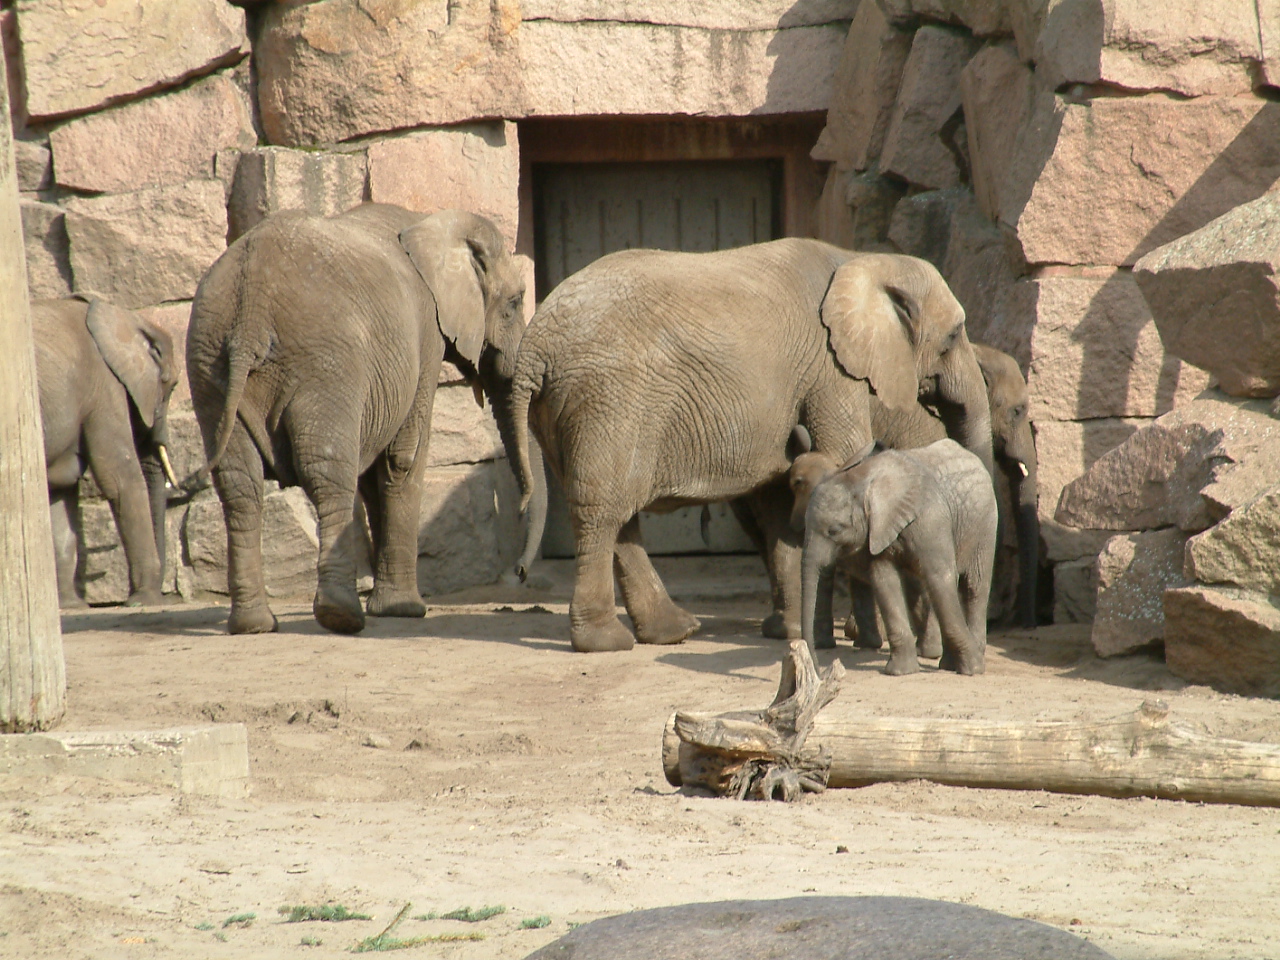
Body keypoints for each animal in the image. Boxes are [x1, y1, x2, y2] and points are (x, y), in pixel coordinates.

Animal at [33, 296, 181, 604]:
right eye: (171, 386)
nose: (165, 597)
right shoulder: (104, 384)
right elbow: (119, 477)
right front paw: (144, 602)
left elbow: (61, 491)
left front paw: (72, 606)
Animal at [185, 204, 524, 640]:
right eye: (515, 303)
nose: (521, 572)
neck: (432, 224)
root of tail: (251, 306)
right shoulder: (426, 337)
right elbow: (402, 459)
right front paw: (404, 610)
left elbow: (373, 470)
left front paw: (389, 605)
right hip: (326, 364)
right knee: (327, 474)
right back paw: (341, 616)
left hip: (209, 364)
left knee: (239, 485)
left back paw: (253, 625)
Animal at [504, 240, 993, 655]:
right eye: (953, 337)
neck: (863, 260)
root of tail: (534, 346)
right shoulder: (831, 368)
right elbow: (844, 450)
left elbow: (778, 502)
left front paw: (791, 631)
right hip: (607, 401)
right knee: (602, 512)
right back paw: (605, 643)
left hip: (561, 411)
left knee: (616, 516)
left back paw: (671, 633)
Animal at [798, 437, 998, 675]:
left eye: (834, 531)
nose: (820, 671)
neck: (862, 482)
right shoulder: (876, 532)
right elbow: (885, 582)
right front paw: (900, 672)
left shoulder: (930, 518)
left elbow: (940, 579)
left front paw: (973, 669)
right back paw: (948, 664)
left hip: (986, 524)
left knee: (974, 588)